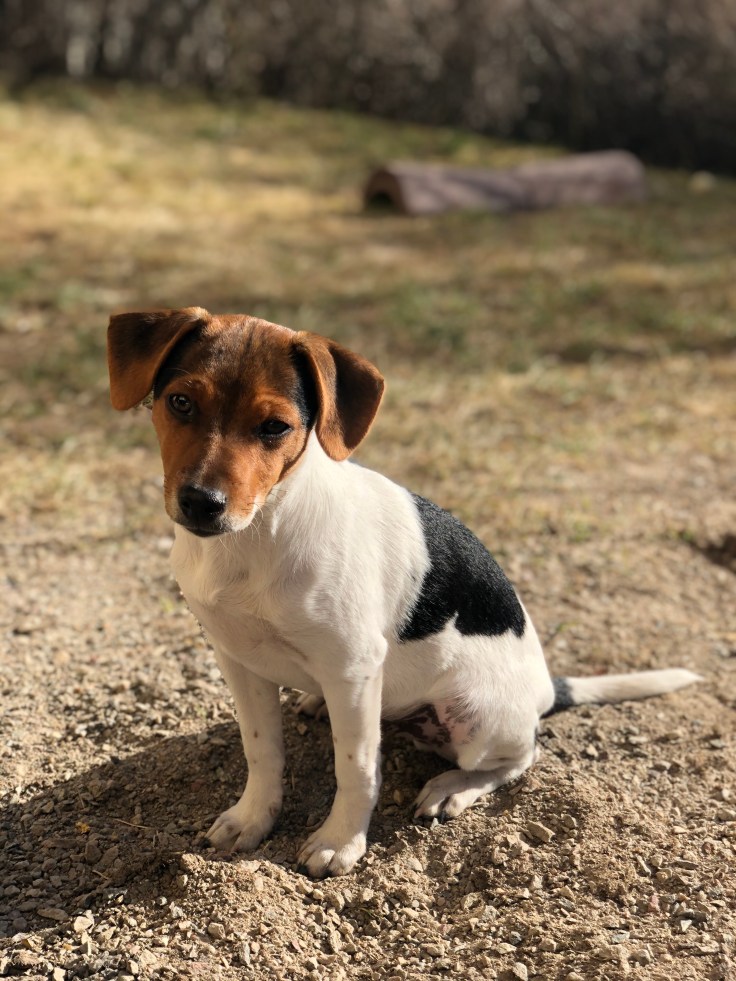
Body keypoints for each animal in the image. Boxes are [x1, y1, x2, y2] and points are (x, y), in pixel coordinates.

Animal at [107, 307, 700, 877]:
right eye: (180, 402)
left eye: (275, 427)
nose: (201, 503)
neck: (257, 534)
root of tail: (546, 690)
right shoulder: (238, 660)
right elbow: (263, 753)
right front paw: (253, 819)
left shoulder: (352, 666)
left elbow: (356, 768)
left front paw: (340, 842)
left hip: (474, 713)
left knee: (516, 757)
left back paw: (450, 789)